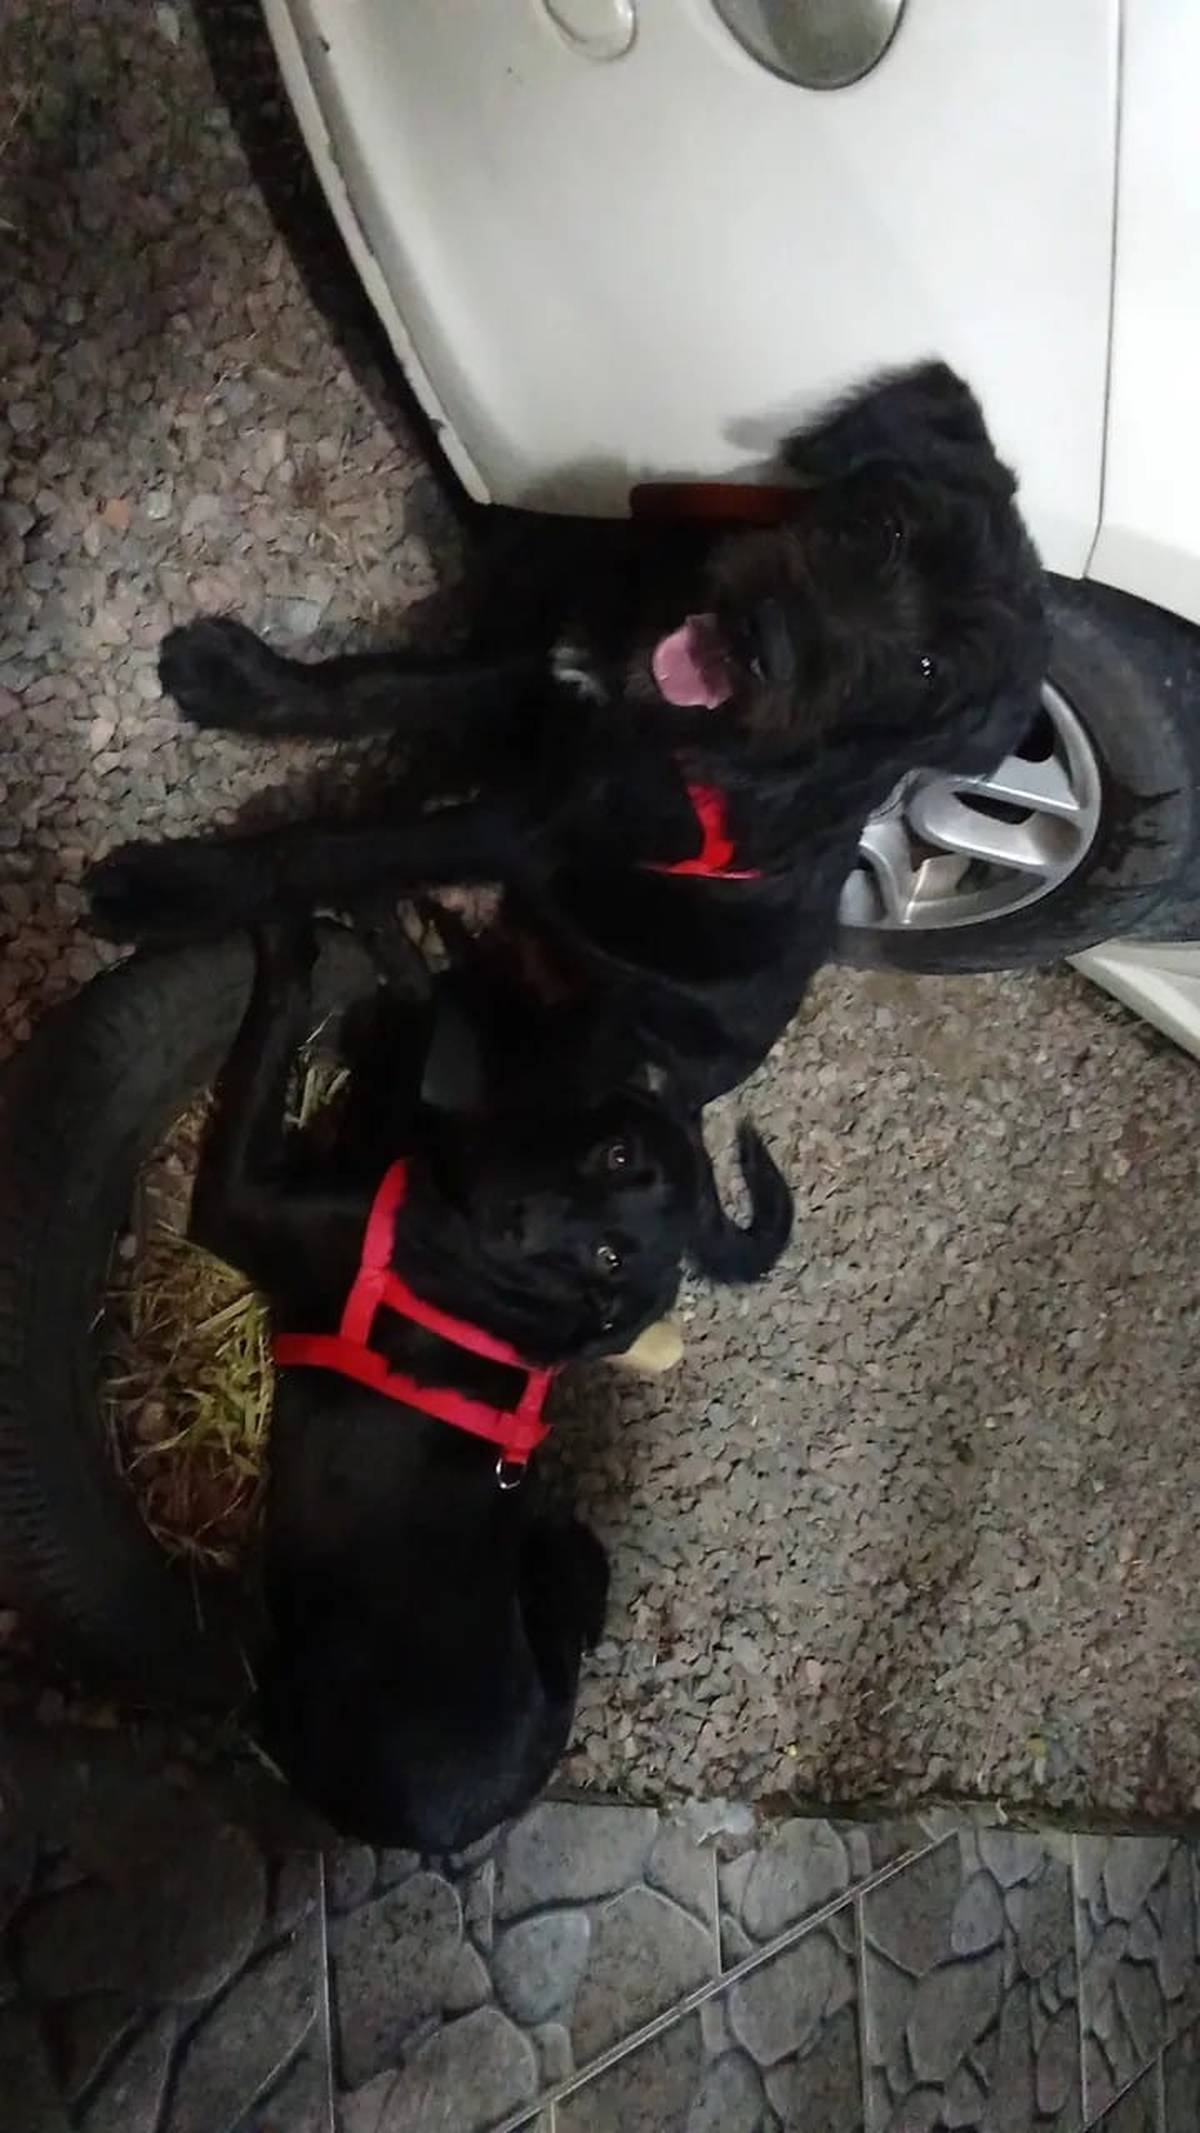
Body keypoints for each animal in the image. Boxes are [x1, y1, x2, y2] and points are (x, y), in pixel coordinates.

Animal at [88, 362, 1048, 1108]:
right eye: (887, 529)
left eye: (927, 672)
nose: (762, 642)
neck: (685, 728)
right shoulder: (539, 675)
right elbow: (381, 684)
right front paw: (238, 681)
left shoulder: (523, 825)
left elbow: (338, 844)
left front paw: (170, 888)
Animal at [195, 921, 791, 1847]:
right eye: (617, 1152)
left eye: (610, 1257)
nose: (515, 1219)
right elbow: (413, 1035)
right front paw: (399, 954)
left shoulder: (240, 1201)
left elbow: (278, 1039)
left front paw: (297, 953)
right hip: (567, 1552)